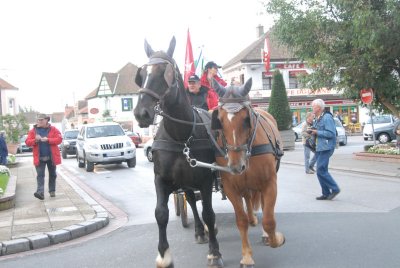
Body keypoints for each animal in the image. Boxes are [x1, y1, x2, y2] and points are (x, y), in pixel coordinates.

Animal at [134, 37, 222, 268]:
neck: (181, 137)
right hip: (185, 181)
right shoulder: (161, 179)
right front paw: (164, 255)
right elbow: (161, 214)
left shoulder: (206, 179)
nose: (141, 113)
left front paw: (214, 252)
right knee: (190, 200)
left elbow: (209, 212)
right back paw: (200, 231)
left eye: (165, 72)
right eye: (142, 75)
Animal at [211, 78, 286, 266]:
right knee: (248, 199)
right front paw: (246, 256)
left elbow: (269, 220)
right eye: (219, 120)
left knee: (263, 207)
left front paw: (275, 239)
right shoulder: (231, 188)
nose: (236, 166)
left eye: (246, 119)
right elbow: (241, 220)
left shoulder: (269, 184)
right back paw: (252, 218)